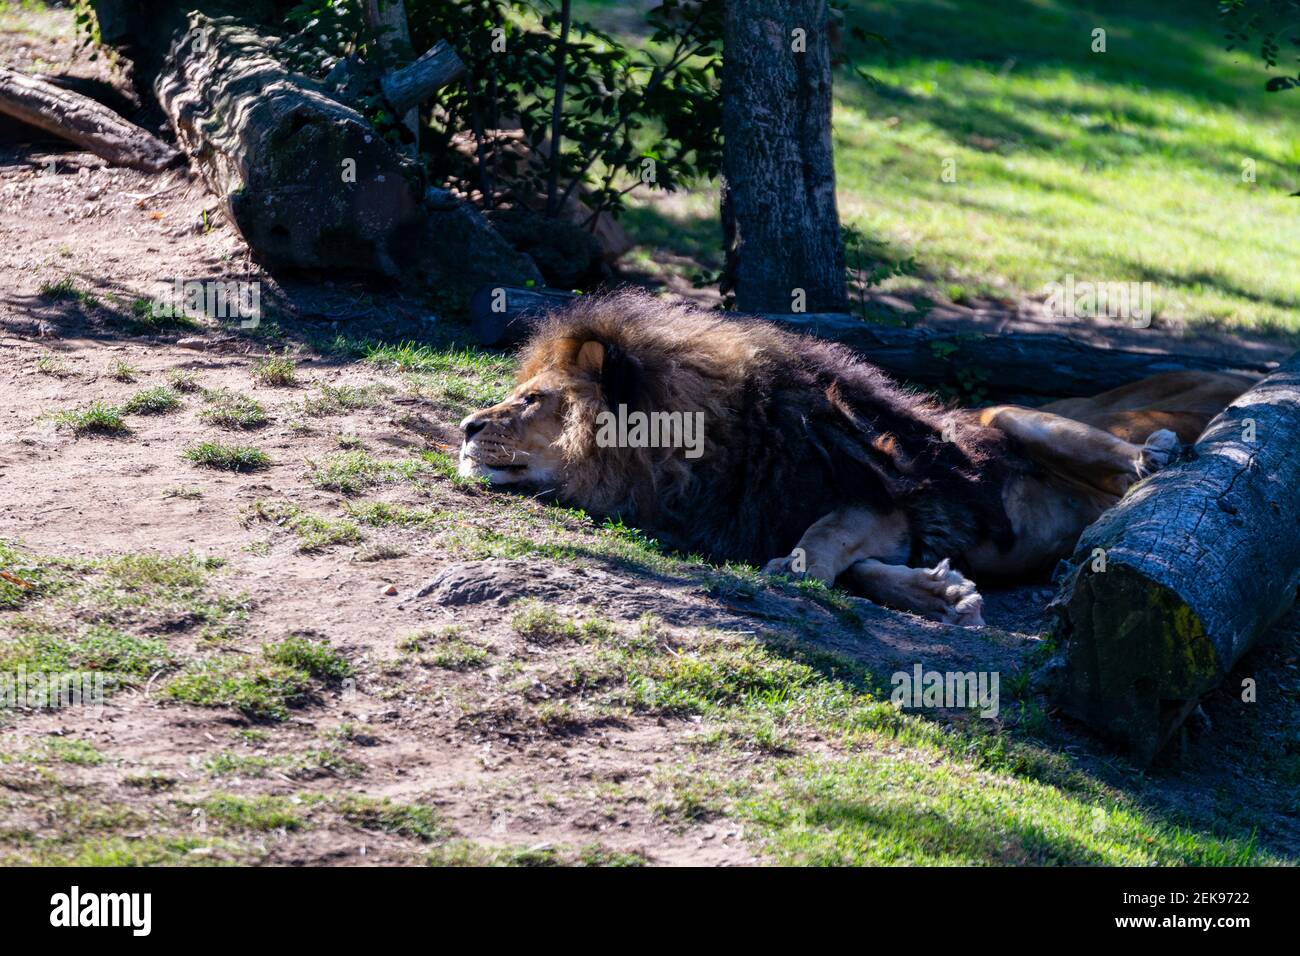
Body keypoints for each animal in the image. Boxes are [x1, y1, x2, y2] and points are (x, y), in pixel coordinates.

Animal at [458, 291, 1253, 626]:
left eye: (531, 399)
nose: (464, 426)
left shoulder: (884, 499)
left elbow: (822, 542)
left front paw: (795, 572)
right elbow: (866, 571)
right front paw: (944, 594)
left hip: (1009, 418)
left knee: (1134, 461)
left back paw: (1152, 465)